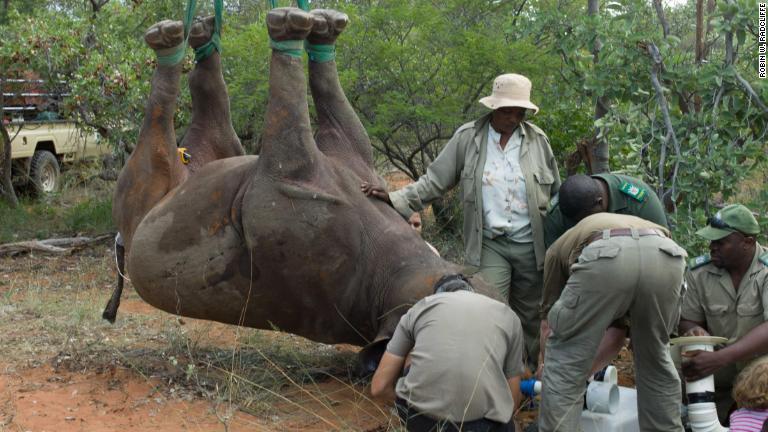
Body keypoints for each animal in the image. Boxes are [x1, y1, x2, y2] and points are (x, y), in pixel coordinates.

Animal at [105, 7, 496, 368]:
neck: (386, 273)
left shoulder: (287, 176)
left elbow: (289, 111)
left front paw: (292, 29)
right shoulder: (348, 157)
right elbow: (331, 109)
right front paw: (317, 28)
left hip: (151, 189)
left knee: (171, 121)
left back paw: (176, 39)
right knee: (208, 99)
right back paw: (201, 32)